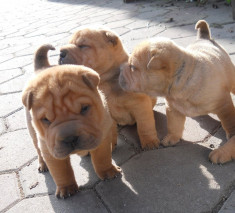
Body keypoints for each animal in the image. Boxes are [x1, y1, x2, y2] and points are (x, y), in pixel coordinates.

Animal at [119, 20, 235, 164]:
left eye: (133, 67)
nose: (119, 70)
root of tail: (204, 38)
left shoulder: (223, 105)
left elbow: (228, 121)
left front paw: (229, 138)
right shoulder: (173, 109)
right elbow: (174, 125)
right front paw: (171, 138)